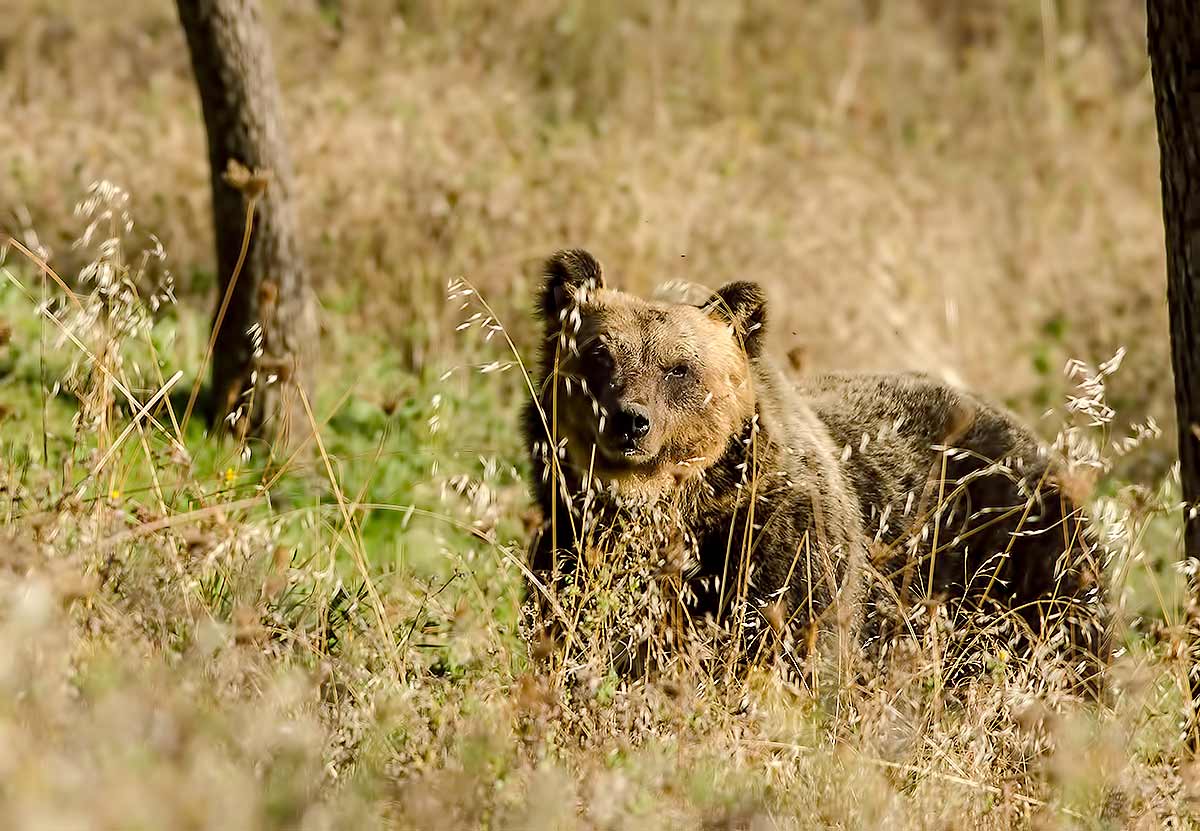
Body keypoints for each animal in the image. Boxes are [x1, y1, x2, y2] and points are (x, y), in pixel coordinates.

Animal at [523, 249, 1109, 692]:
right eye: (600, 354)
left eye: (679, 368)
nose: (630, 421)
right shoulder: (570, 540)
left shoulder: (784, 545)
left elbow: (791, 639)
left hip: (1013, 549)